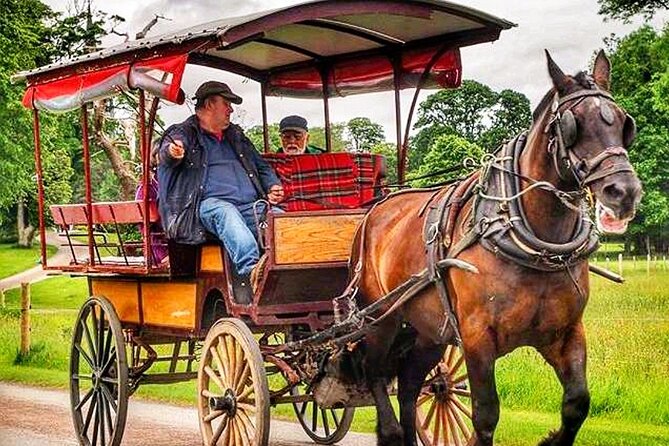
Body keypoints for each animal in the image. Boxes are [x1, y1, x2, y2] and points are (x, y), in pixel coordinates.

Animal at [352, 50, 644, 444]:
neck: (536, 247)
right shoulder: (477, 337)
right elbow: (486, 415)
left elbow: (577, 403)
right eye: (573, 124)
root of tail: (376, 209)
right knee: (376, 373)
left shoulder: (566, 332)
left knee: (411, 384)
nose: (624, 192)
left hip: (430, 329)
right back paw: (391, 430)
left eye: (624, 123)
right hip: (382, 317)